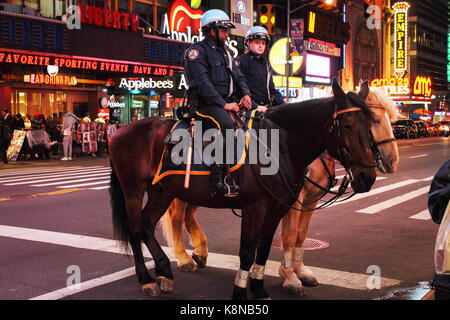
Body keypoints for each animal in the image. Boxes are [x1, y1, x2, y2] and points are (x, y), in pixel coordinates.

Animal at [110, 79, 378, 298]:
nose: (367, 177)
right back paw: (146, 279)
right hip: (133, 191)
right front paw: (240, 292)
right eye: (347, 125)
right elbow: (247, 251)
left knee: (147, 226)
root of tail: (119, 132)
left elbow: (264, 248)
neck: (279, 145)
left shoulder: (276, 209)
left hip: (161, 192)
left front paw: (258, 289)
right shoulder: (254, 208)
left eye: (371, 123)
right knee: (135, 230)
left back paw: (165, 272)